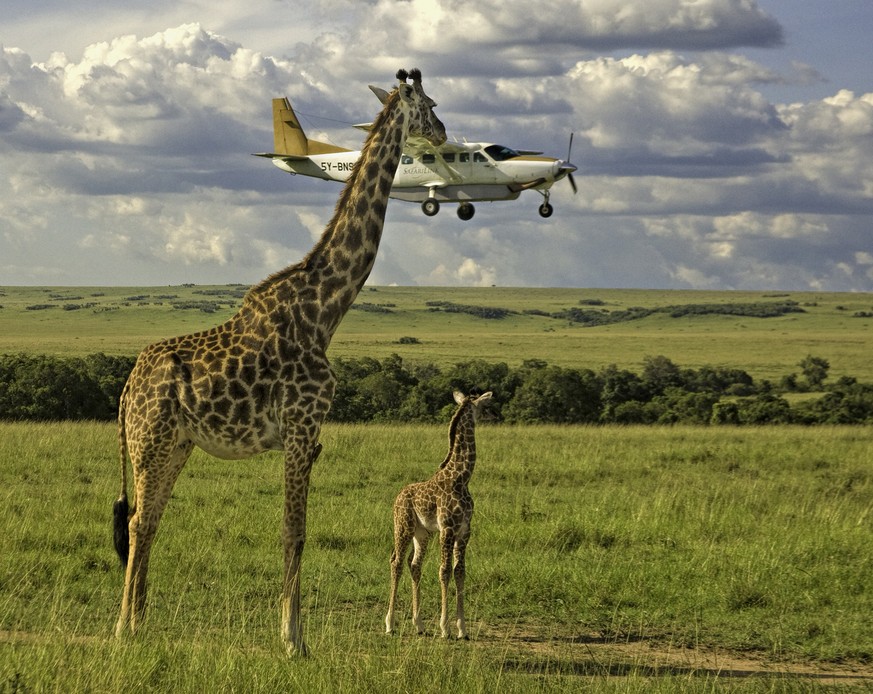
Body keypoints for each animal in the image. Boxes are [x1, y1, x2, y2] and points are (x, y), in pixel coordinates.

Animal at [112, 68, 446, 656]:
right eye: (427, 104)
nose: (445, 132)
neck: (326, 308)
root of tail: (129, 387)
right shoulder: (300, 426)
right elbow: (295, 531)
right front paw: (294, 641)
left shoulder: (309, 436)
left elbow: (295, 531)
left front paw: (292, 635)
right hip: (148, 441)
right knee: (136, 523)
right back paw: (126, 628)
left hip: (175, 444)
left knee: (147, 522)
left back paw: (139, 623)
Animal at [386, 388, 494, 640]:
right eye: (484, 405)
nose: (494, 415)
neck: (461, 478)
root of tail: (397, 497)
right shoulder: (447, 528)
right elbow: (444, 571)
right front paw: (445, 628)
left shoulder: (464, 531)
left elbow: (460, 571)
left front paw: (462, 628)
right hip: (403, 526)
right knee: (396, 562)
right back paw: (390, 624)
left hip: (422, 533)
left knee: (414, 565)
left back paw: (419, 625)